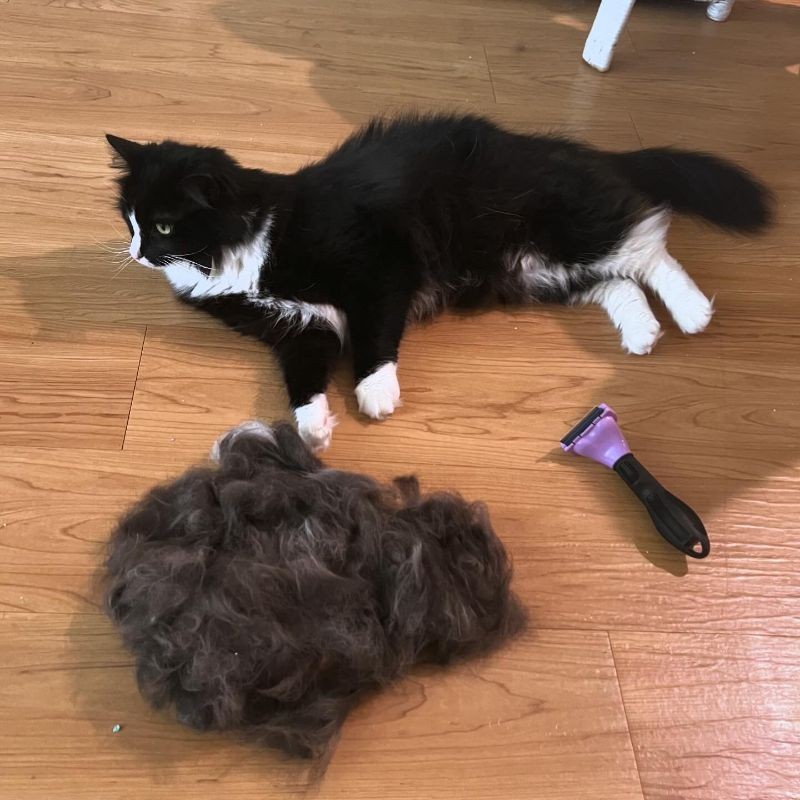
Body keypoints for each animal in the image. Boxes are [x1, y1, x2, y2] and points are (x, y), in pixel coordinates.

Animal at [106, 112, 771, 450]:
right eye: (131, 221)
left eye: (163, 225)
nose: (137, 253)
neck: (247, 245)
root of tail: (578, 152)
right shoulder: (297, 328)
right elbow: (304, 380)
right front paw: (315, 428)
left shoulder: (378, 266)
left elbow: (375, 338)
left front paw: (375, 395)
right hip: (539, 270)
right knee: (620, 281)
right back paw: (643, 334)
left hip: (561, 234)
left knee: (647, 241)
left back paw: (691, 312)